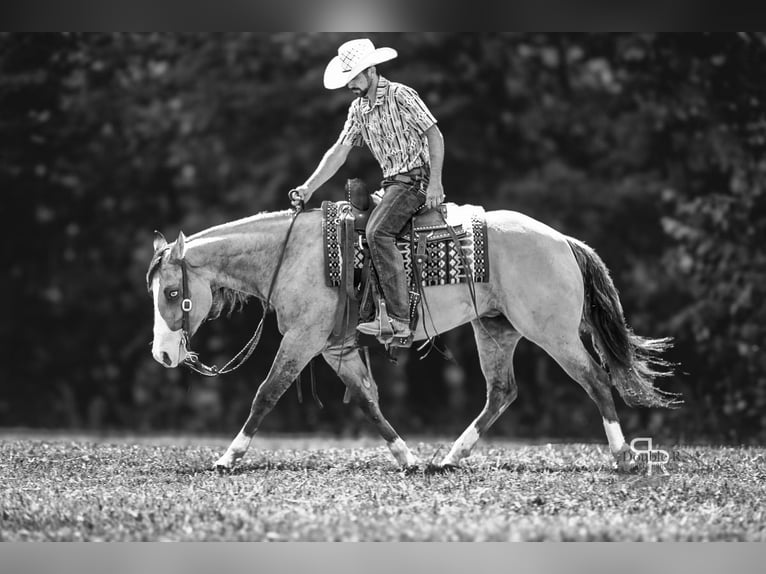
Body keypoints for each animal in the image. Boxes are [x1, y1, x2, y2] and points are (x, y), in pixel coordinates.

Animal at [146, 204, 677, 472]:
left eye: (173, 291)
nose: (162, 354)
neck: (292, 253)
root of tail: (562, 240)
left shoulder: (302, 338)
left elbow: (266, 393)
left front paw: (227, 457)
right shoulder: (336, 347)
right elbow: (368, 402)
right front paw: (407, 457)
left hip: (552, 332)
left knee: (596, 381)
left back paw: (623, 456)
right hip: (495, 330)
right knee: (501, 392)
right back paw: (450, 458)